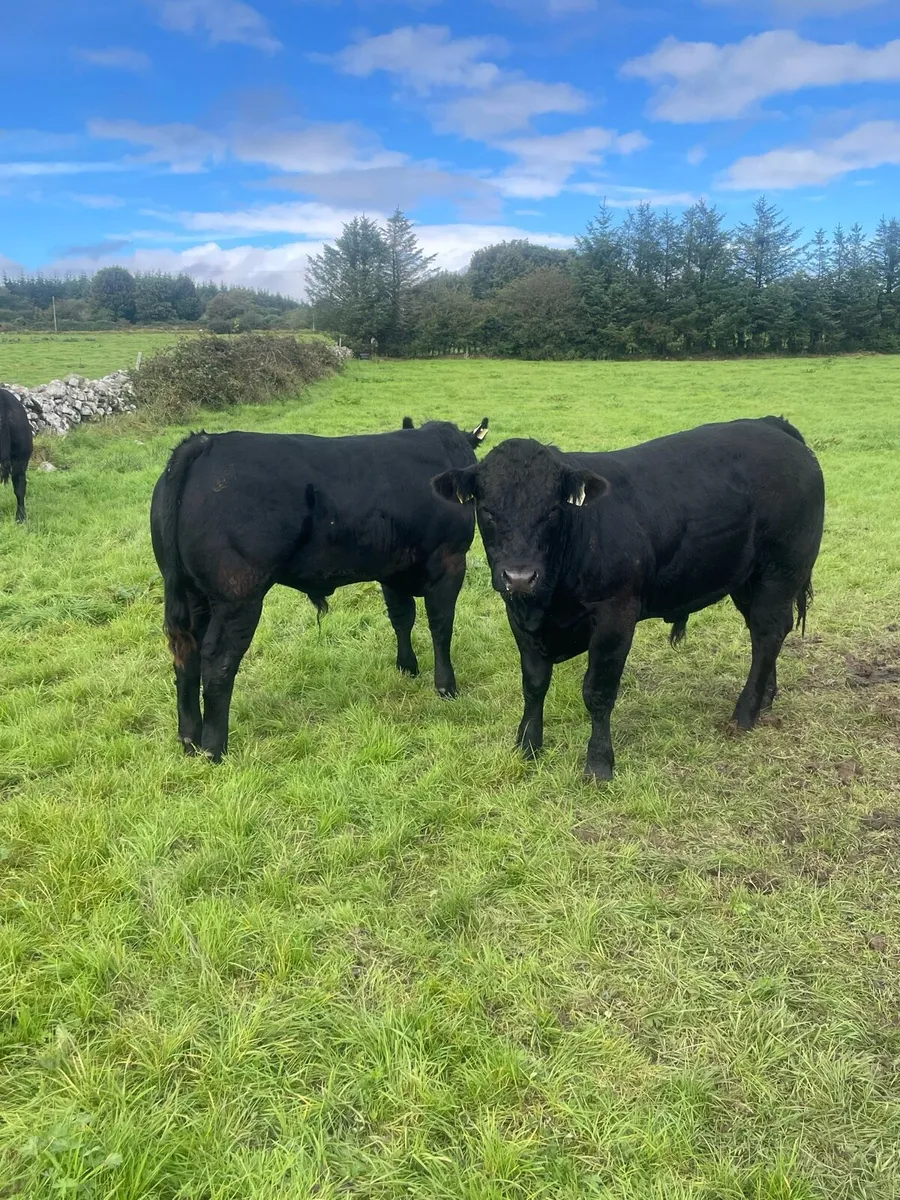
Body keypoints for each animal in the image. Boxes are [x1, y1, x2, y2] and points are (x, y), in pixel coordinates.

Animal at [150, 414, 489, 761]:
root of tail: (204, 442)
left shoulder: (393, 569)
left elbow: (401, 618)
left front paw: (407, 668)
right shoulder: (450, 559)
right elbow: (441, 625)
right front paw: (446, 687)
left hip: (191, 593)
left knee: (186, 653)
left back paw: (189, 739)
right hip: (238, 596)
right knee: (218, 661)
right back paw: (214, 749)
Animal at [433, 417, 825, 783]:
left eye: (552, 510)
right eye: (487, 510)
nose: (519, 576)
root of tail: (770, 425)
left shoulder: (615, 616)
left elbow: (598, 691)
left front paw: (598, 764)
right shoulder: (520, 618)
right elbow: (533, 684)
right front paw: (528, 746)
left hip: (779, 571)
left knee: (768, 633)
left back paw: (744, 713)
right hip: (747, 580)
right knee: (765, 637)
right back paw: (764, 699)